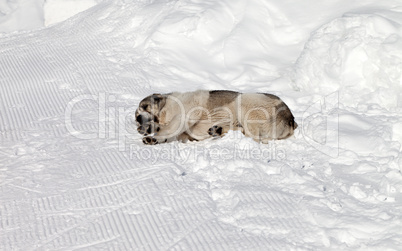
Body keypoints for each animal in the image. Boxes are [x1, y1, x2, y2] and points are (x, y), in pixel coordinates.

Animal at [137, 90, 296, 145]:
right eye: (136, 116)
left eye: (144, 107)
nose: (138, 120)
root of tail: (291, 121)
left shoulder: (184, 116)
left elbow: (168, 129)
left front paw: (153, 138)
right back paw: (218, 130)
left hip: (245, 100)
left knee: (253, 138)